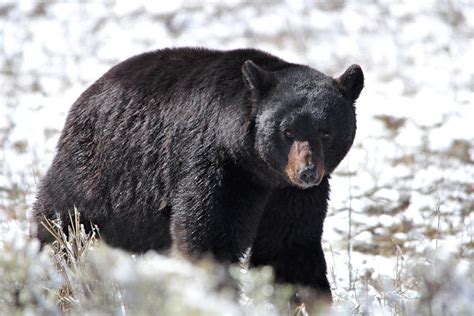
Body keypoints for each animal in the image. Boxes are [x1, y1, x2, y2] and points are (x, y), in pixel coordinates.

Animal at [33, 47, 362, 302]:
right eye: (287, 131)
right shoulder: (217, 167)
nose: (307, 172)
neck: (261, 172)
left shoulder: (291, 195)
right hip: (99, 173)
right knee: (61, 223)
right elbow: (209, 237)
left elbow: (289, 248)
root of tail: (84, 97)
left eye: (326, 131)